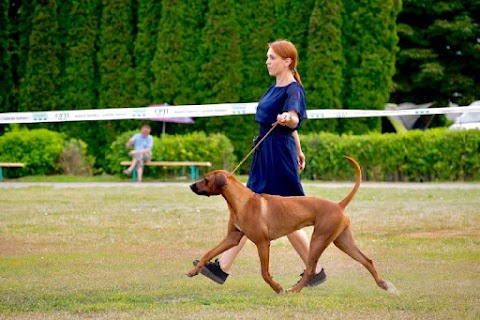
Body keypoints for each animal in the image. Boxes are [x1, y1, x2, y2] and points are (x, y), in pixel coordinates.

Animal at [186, 156, 396, 294]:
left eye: (206, 179)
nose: (191, 186)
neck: (242, 201)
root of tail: (338, 205)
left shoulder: (263, 243)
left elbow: (264, 273)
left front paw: (277, 287)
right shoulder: (232, 238)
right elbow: (209, 253)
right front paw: (196, 270)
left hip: (319, 239)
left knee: (310, 270)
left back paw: (294, 290)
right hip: (342, 241)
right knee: (367, 260)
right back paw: (383, 284)